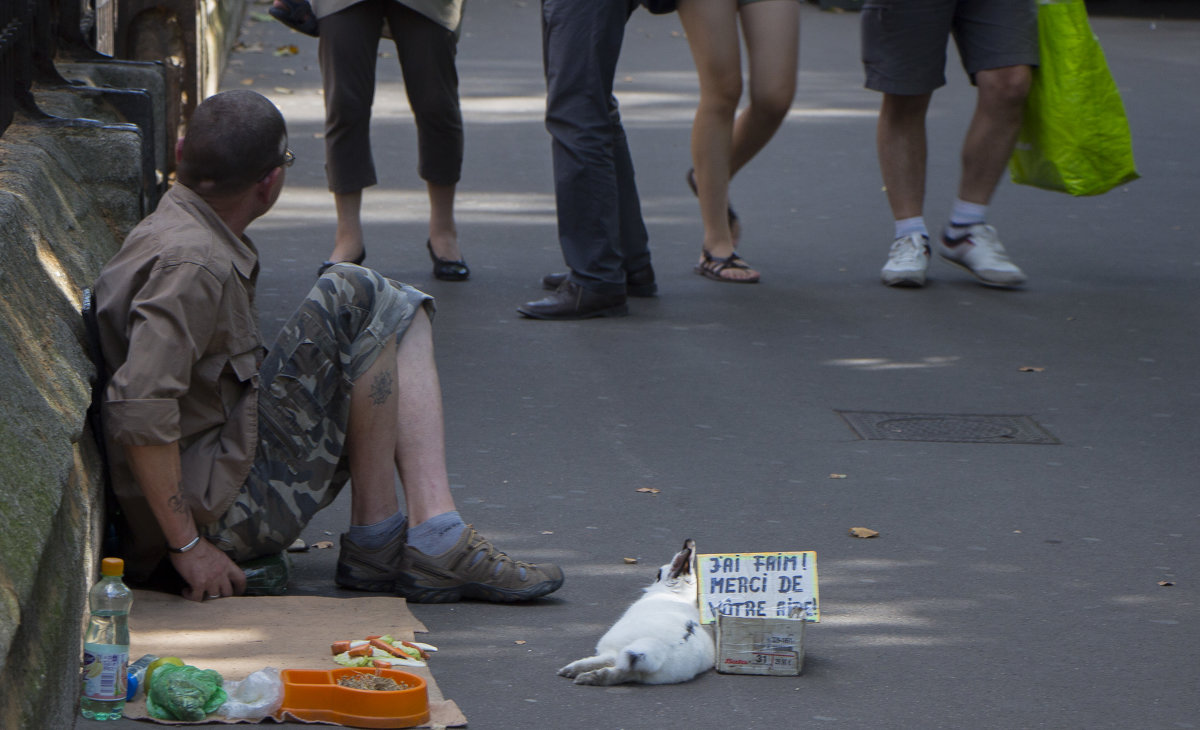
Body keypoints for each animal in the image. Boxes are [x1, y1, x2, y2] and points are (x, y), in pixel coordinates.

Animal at [559, 535, 715, 681]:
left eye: (658, 574)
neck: (677, 594)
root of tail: (662, 650)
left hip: (615, 645)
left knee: (608, 659)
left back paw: (572, 671)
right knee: (620, 672)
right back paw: (591, 677)